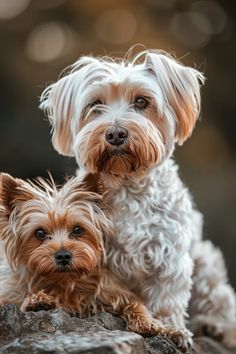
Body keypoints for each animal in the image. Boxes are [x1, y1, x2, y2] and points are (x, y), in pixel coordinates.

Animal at [0, 172, 186, 346]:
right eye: (39, 233)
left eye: (78, 230)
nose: (63, 255)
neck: (65, 283)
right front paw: (37, 299)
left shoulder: (110, 291)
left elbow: (135, 303)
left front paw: (149, 323)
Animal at [40, 49, 236, 352]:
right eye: (95, 104)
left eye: (142, 101)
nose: (115, 133)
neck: (127, 184)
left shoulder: (169, 254)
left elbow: (168, 296)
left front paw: (172, 329)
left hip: (205, 265)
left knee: (220, 304)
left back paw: (213, 325)